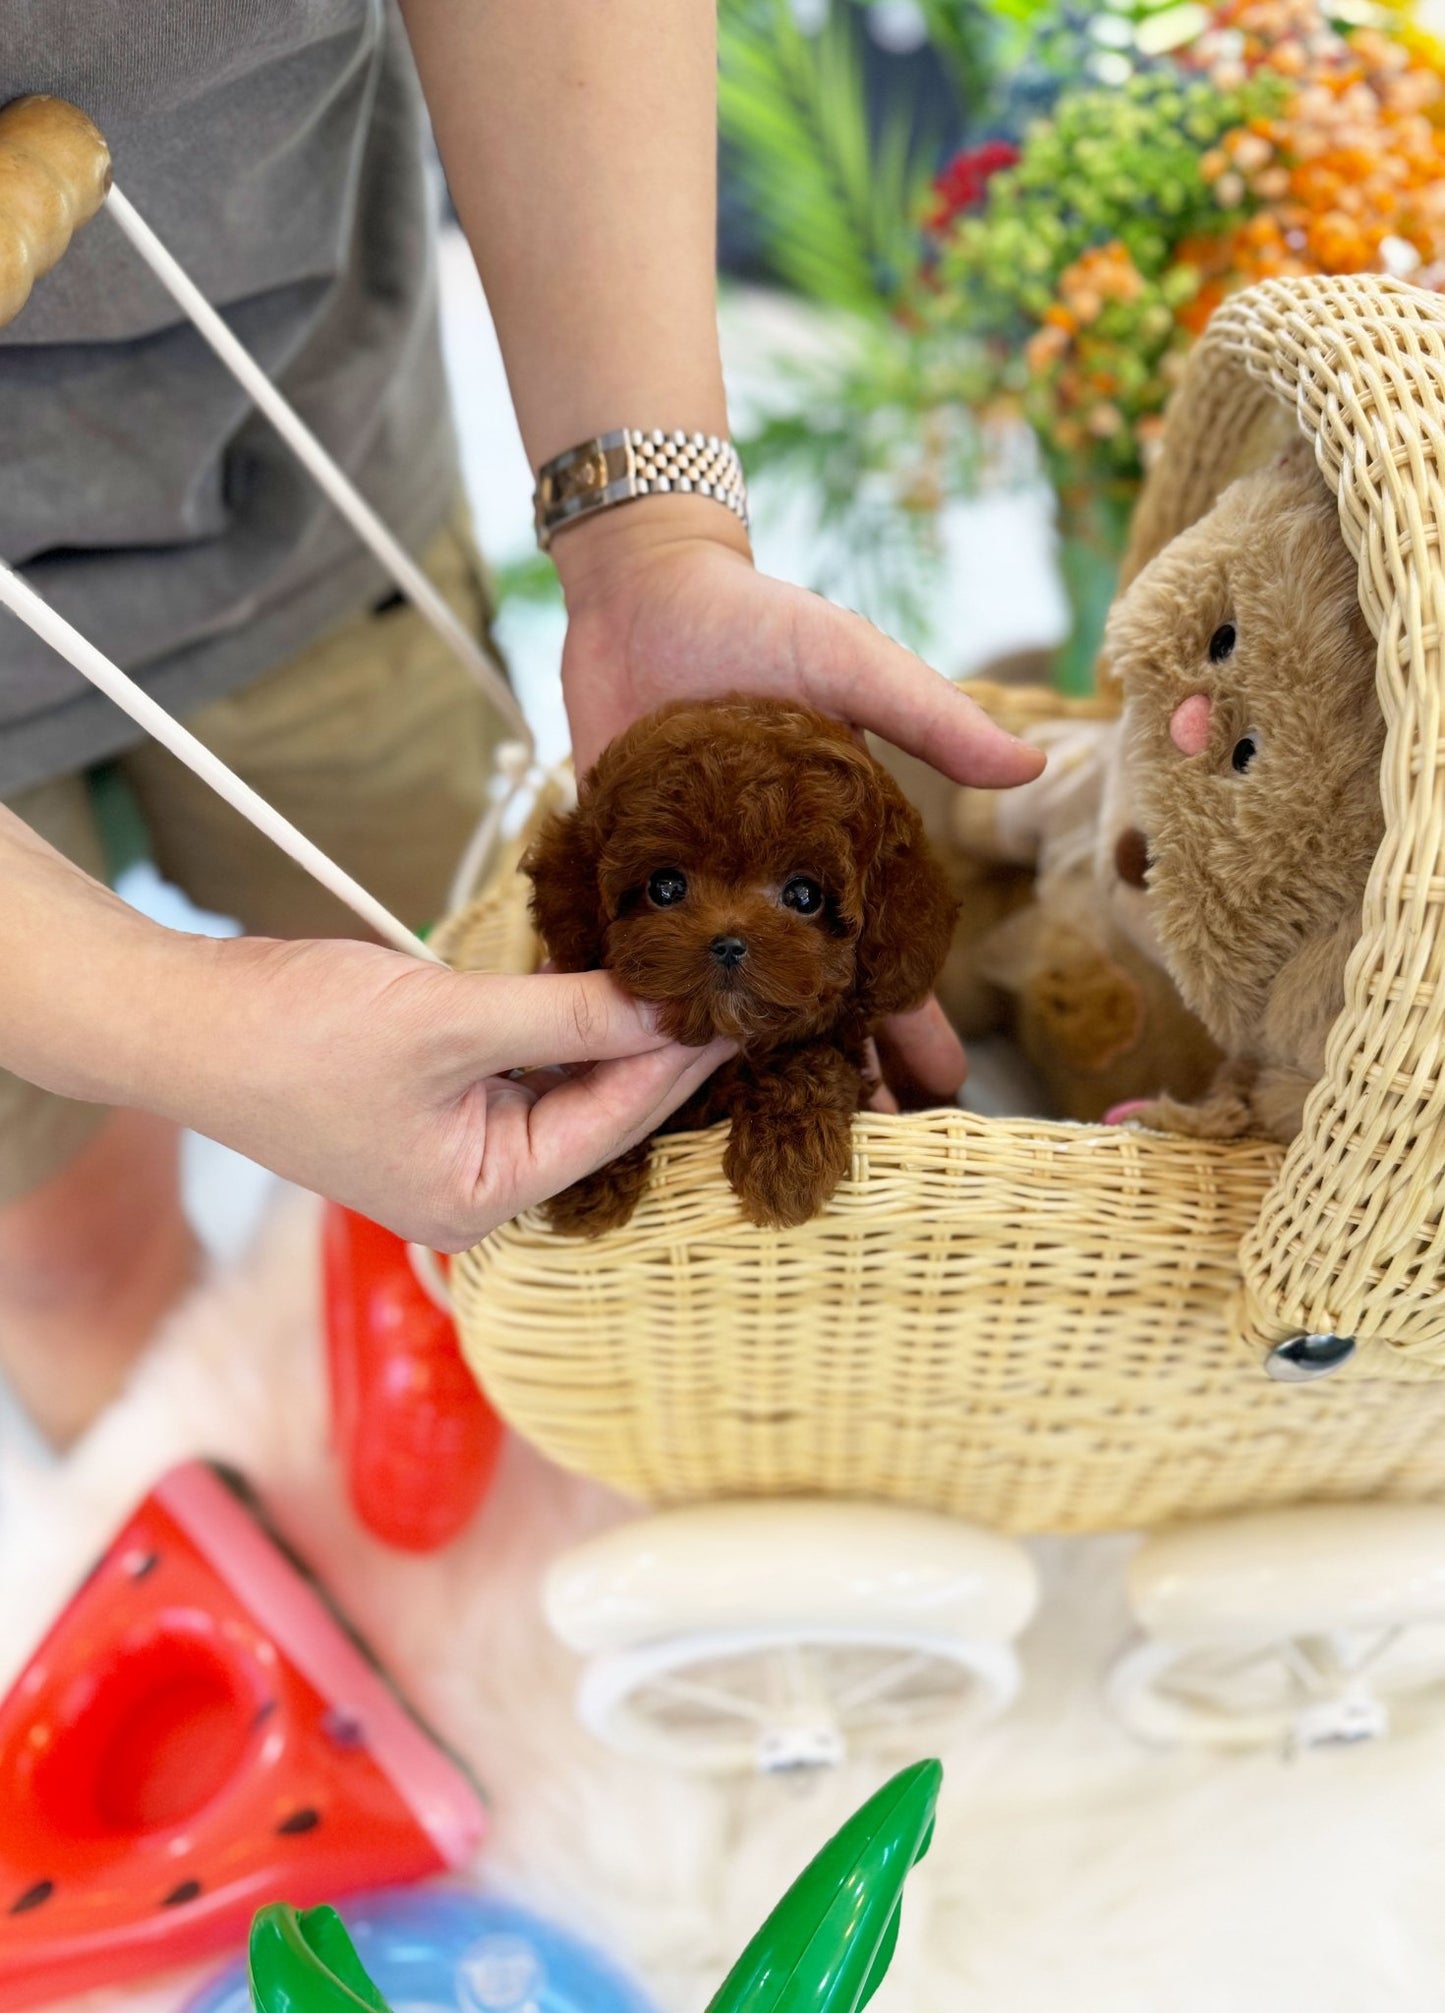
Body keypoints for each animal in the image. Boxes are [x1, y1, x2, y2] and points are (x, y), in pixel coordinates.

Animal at [523, 692, 961, 1231]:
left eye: (804, 895)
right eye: (664, 886)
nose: (729, 943)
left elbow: (806, 1060)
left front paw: (786, 1160)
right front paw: (588, 1177)